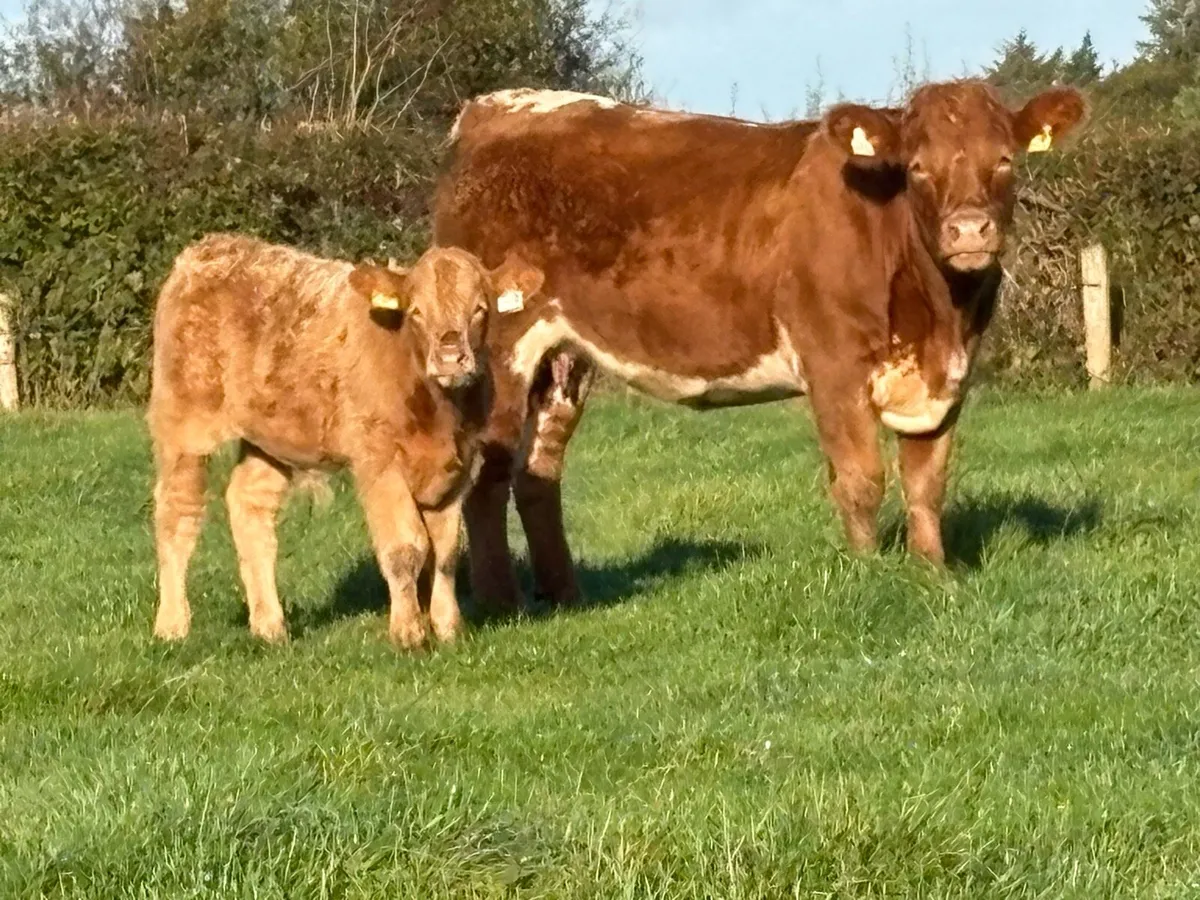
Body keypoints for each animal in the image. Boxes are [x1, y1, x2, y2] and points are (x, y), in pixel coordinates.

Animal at [147, 234, 544, 648]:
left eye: (480, 309)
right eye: (416, 311)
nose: (450, 356)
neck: (439, 412)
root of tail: (207, 249)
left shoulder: (457, 466)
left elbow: (447, 551)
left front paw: (450, 629)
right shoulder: (379, 462)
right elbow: (406, 547)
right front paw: (408, 632)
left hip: (272, 437)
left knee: (249, 503)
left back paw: (270, 626)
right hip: (184, 420)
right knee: (177, 510)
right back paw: (173, 626)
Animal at [433, 80, 1086, 612]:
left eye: (1004, 160)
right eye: (918, 167)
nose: (969, 230)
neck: (941, 316)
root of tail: (497, 106)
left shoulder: (946, 379)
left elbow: (927, 483)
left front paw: (933, 575)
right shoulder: (833, 366)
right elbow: (861, 480)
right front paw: (871, 572)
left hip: (564, 358)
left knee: (537, 475)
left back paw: (566, 594)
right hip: (501, 351)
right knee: (488, 478)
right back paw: (502, 603)